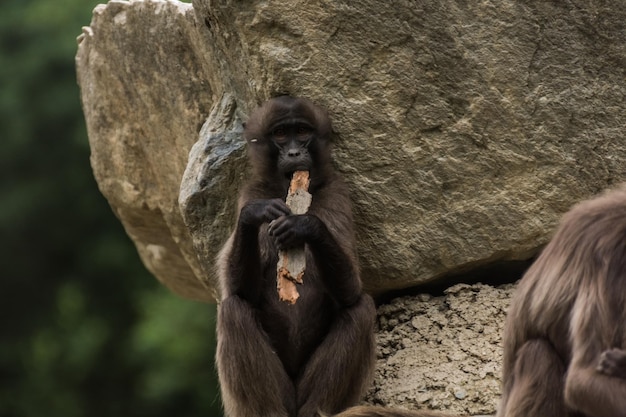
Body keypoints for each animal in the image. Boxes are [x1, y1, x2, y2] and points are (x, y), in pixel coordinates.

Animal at [214, 95, 372, 416]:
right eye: (279, 134)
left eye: (301, 131)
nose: (294, 152)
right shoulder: (252, 191)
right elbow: (240, 290)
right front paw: (255, 215)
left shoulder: (337, 192)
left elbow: (350, 290)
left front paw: (305, 226)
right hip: (282, 393)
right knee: (233, 310)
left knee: (360, 309)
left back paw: (316, 411)